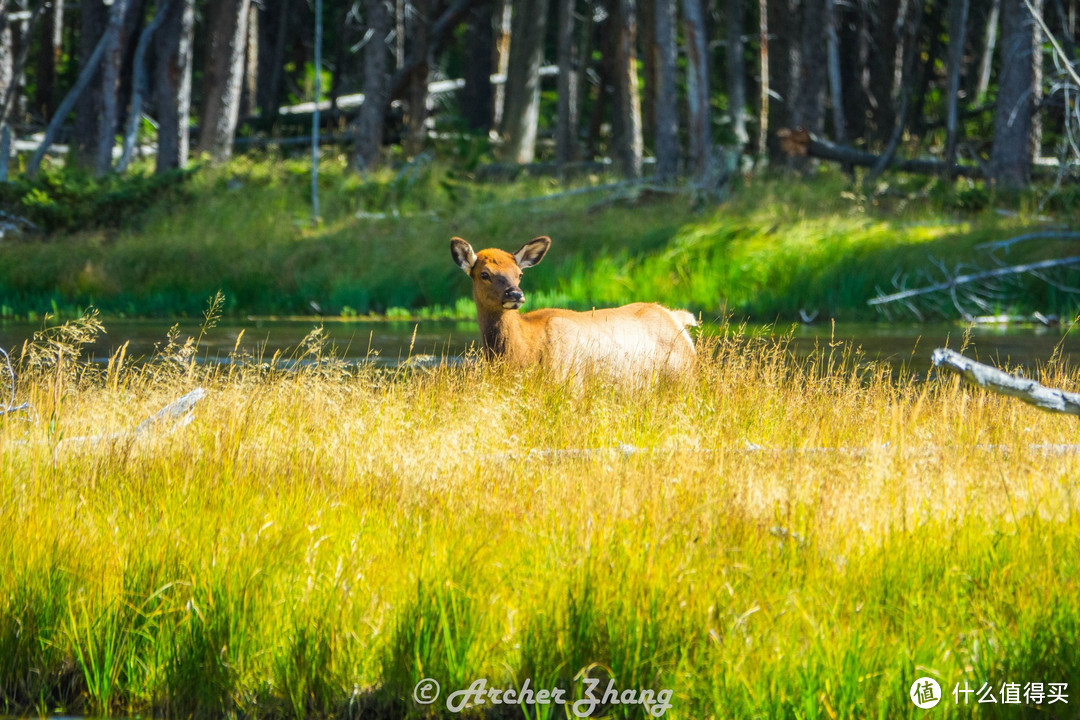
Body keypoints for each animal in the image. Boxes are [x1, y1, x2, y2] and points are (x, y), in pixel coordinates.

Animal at [449, 237, 695, 382]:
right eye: (484, 274)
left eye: (519, 274)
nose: (515, 295)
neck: (524, 351)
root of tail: (678, 318)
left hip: (682, 377)